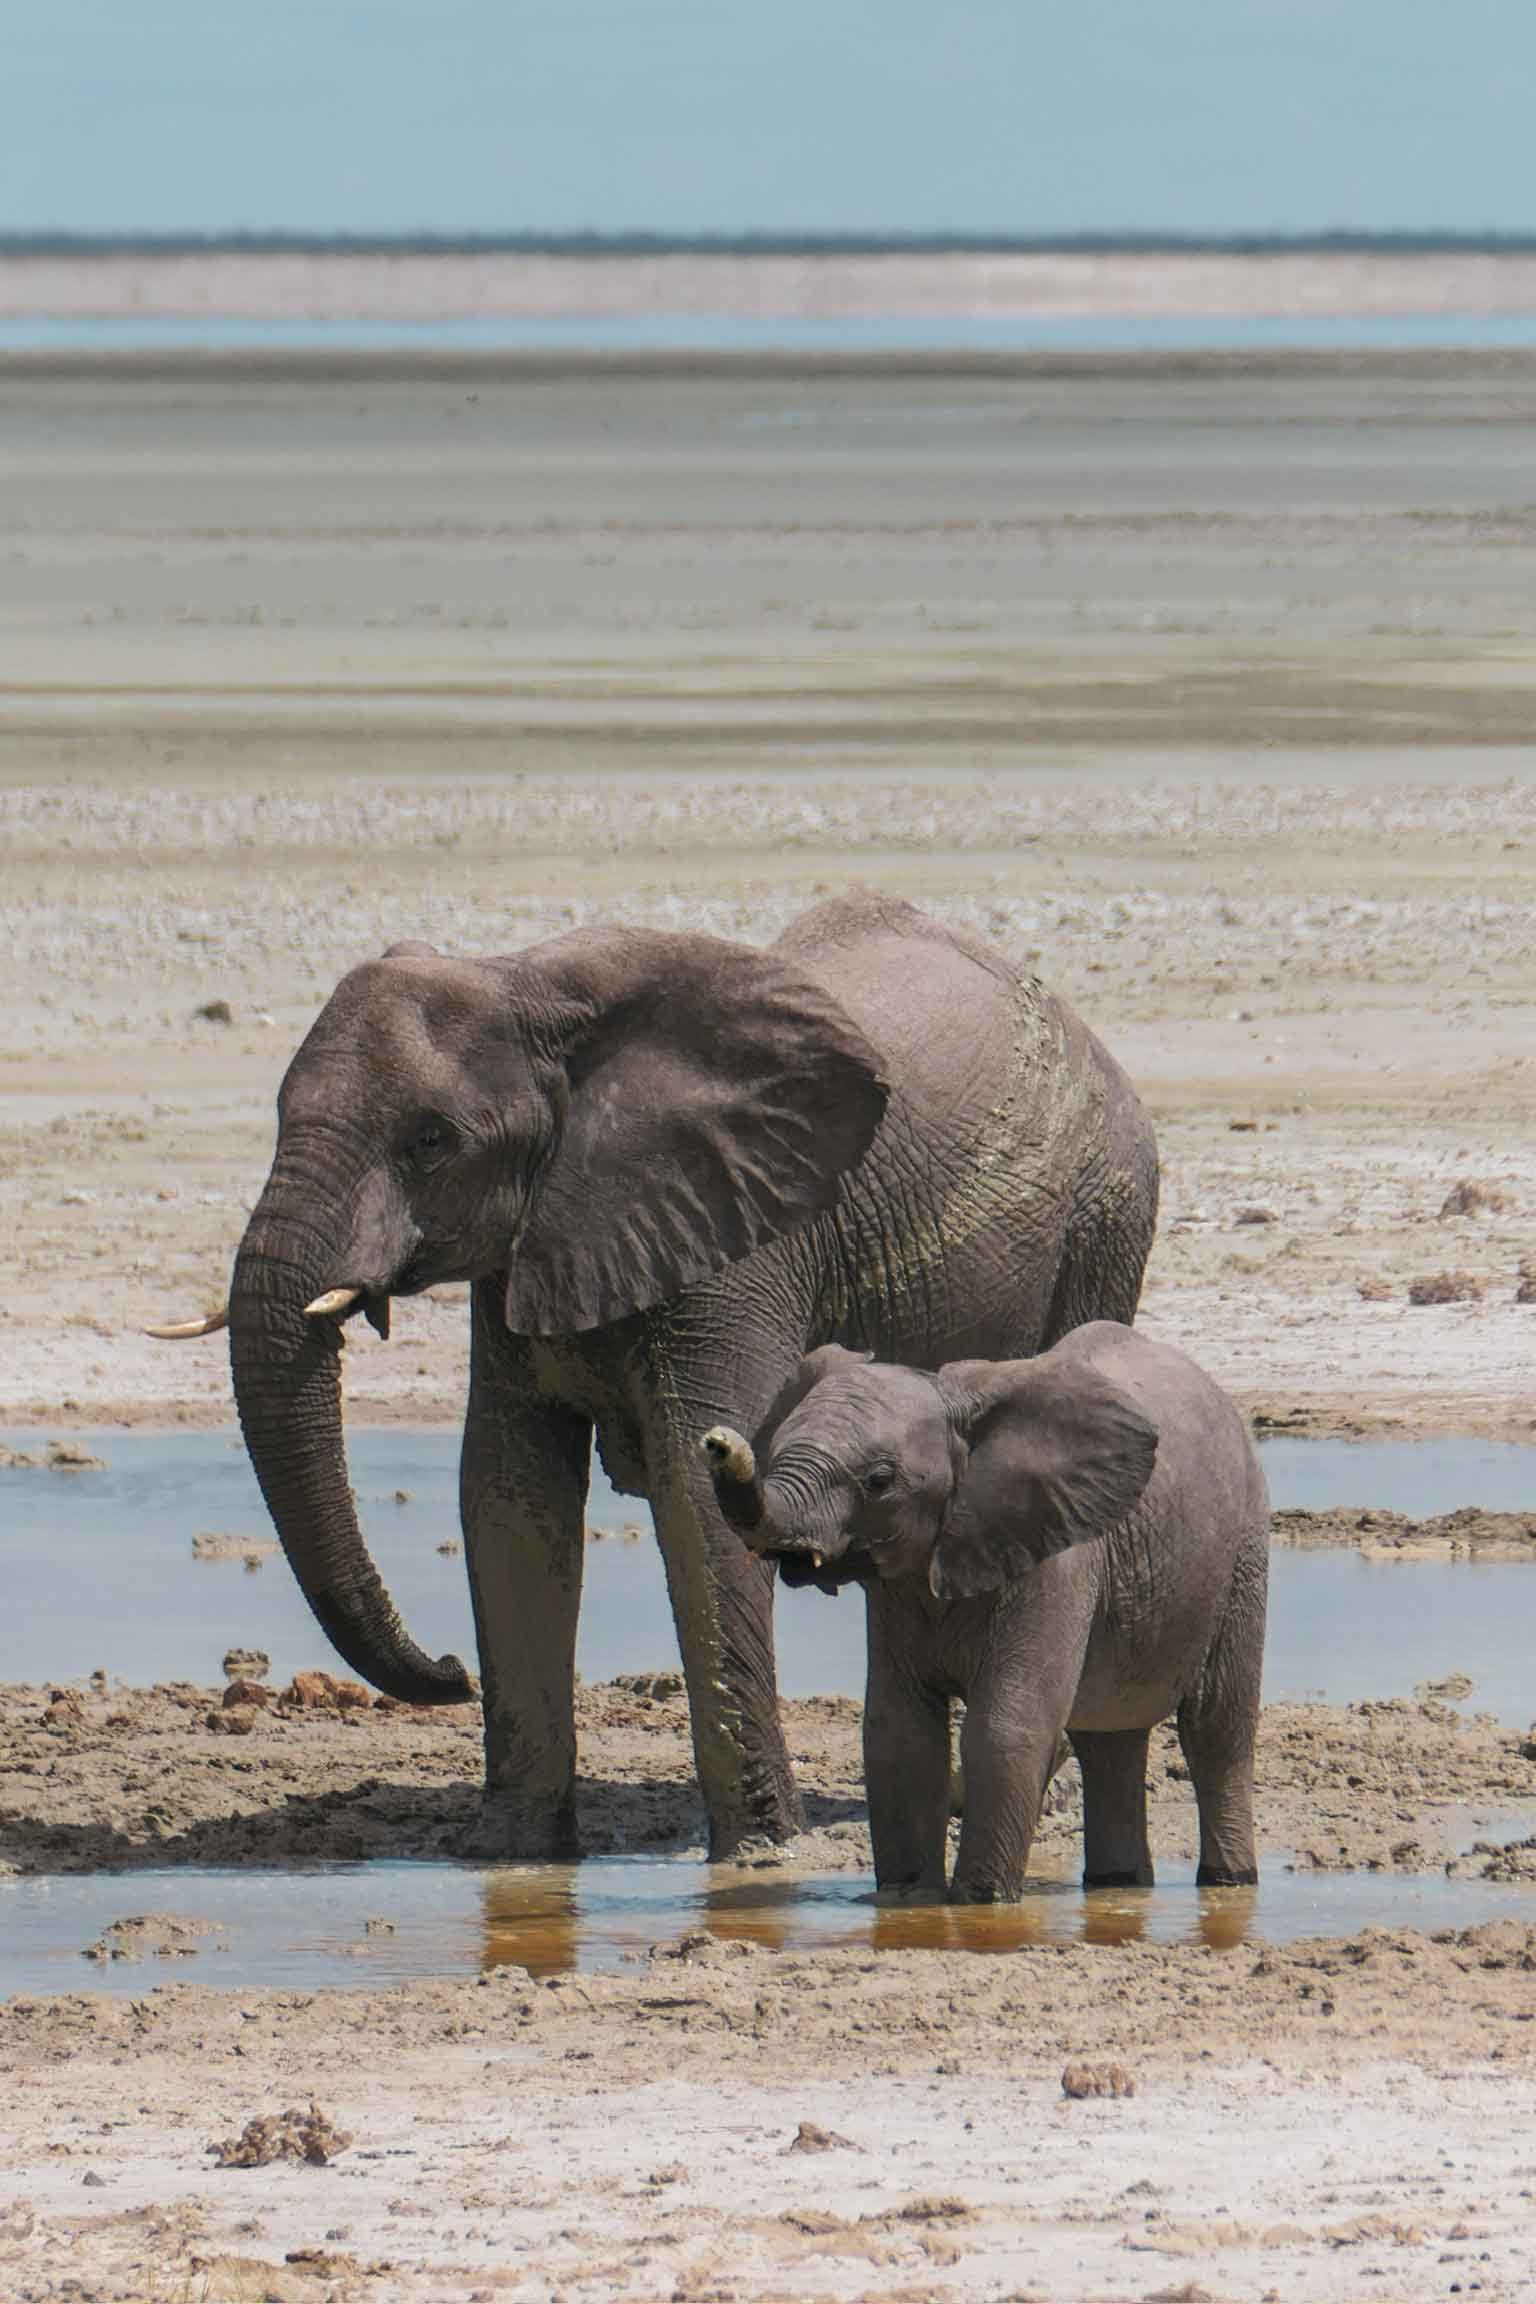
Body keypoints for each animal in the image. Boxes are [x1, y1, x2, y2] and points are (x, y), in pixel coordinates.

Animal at [153, 892, 1159, 1860]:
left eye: (430, 1141)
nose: (447, 1671)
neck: (526, 982)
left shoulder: (743, 1242)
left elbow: (697, 1497)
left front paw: (759, 1854)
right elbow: (508, 1497)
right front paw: (507, 1857)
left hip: (1104, 1217)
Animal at [701, 1321, 1268, 1901]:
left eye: (878, 1480)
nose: (717, 1443)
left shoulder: (1056, 1558)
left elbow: (1006, 1727)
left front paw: (981, 1903)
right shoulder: (897, 1592)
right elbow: (899, 1733)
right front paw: (907, 1900)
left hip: (1243, 1547)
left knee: (1215, 1725)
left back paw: (1228, 1883)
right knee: (1108, 1738)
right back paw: (1117, 1886)